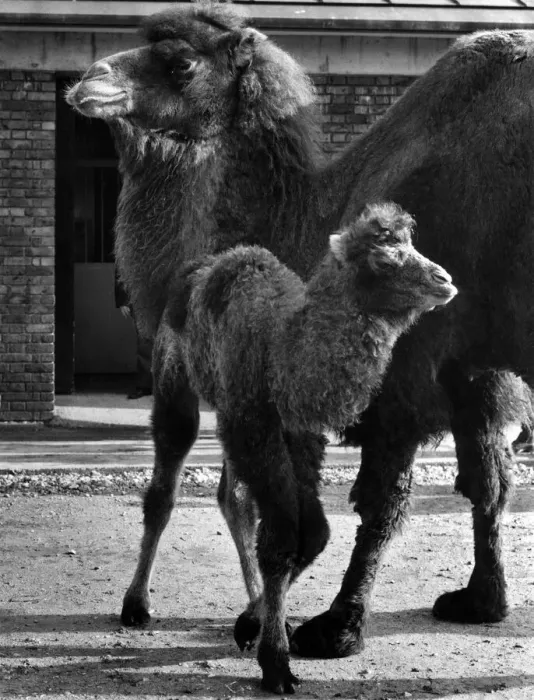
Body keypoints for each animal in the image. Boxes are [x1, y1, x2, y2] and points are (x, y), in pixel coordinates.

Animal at [149, 202, 457, 691]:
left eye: (411, 245)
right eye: (383, 260)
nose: (444, 279)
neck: (283, 348)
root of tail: (193, 272)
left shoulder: (299, 435)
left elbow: (313, 533)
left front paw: (253, 626)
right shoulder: (255, 424)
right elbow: (281, 539)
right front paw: (276, 663)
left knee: (232, 499)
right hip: (174, 374)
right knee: (168, 471)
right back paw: (134, 606)